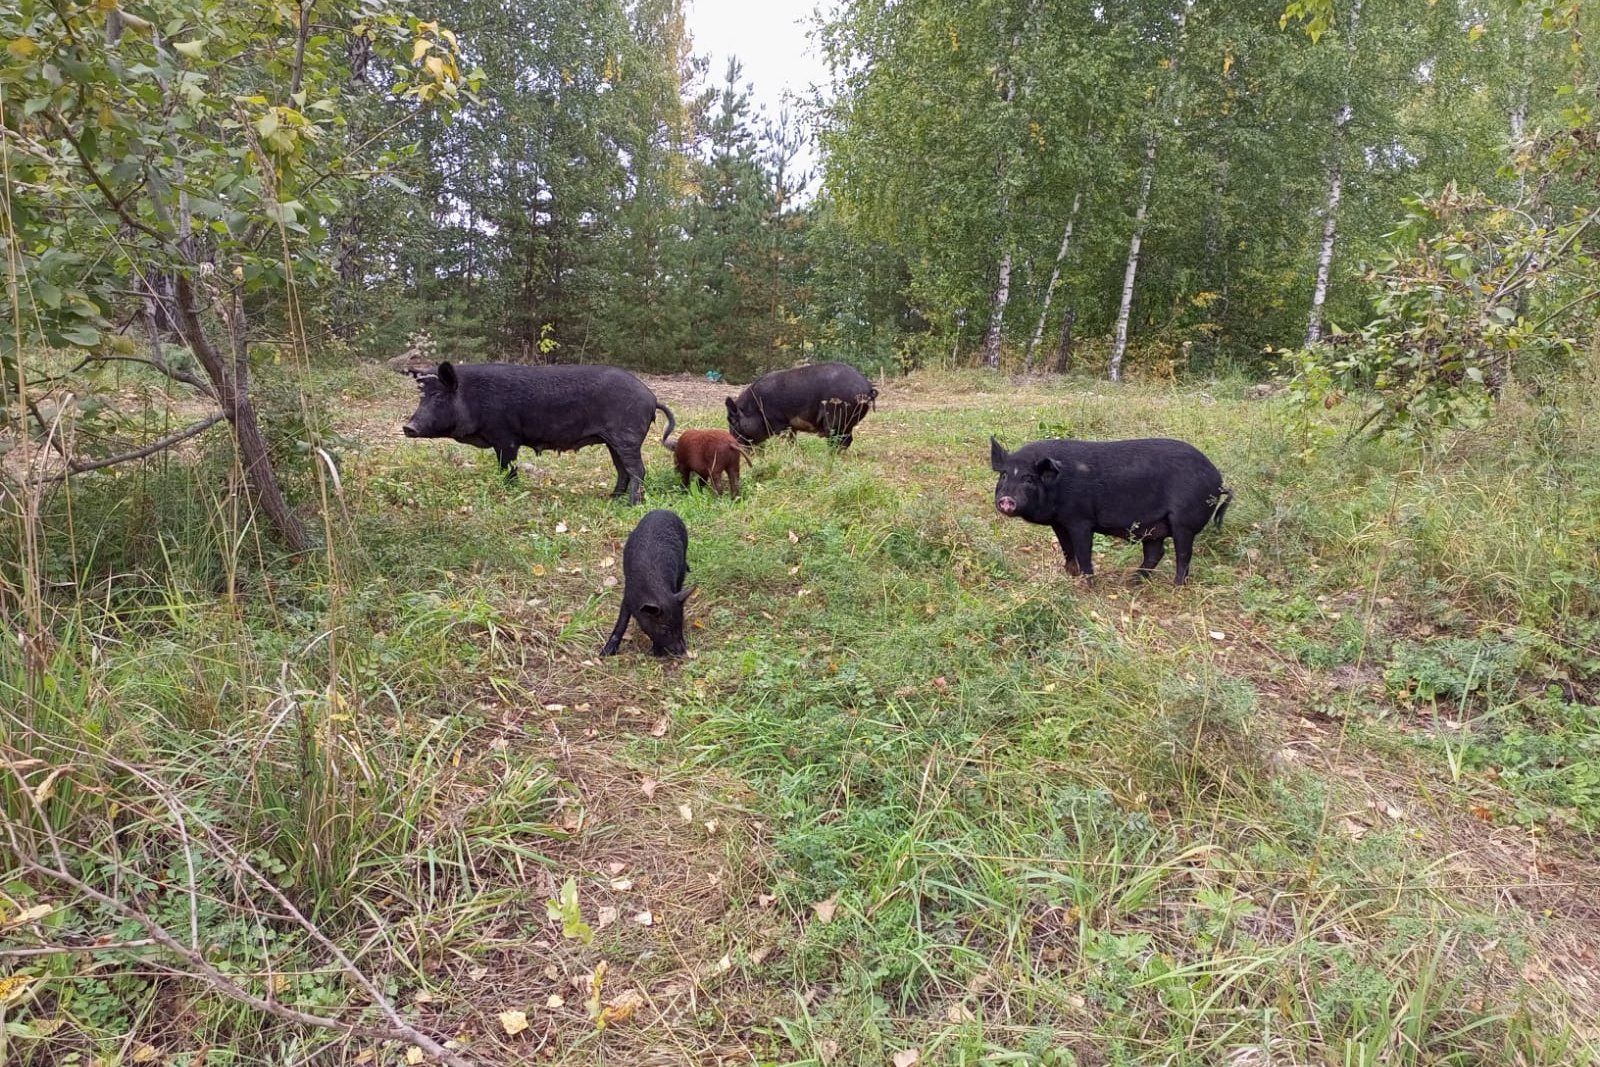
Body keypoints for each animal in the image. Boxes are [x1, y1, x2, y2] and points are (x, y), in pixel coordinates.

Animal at [406, 363, 675, 505]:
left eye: (439, 396)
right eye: (422, 397)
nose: (408, 427)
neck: (473, 397)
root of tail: (651, 398)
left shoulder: (506, 436)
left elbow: (507, 467)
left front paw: (510, 490)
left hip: (626, 436)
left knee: (637, 469)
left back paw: (631, 504)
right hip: (614, 441)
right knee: (623, 470)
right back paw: (611, 498)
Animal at [601, 511, 694, 659]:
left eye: (681, 622)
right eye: (663, 627)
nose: (683, 651)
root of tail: (663, 510)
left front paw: (657, 653)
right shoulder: (628, 596)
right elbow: (621, 623)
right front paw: (604, 654)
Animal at [723, 363, 876, 451]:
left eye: (733, 421)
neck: (756, 407)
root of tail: (868, 387)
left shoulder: (780, 423)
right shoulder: (791, 427)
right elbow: (792, 440)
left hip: (835, 420)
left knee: (838, 441)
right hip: (847, 423)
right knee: (847, 440)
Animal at [985, 435, 1235, 585]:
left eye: (1028, 478)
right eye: (1004, 475)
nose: (1006, 500)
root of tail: (1218, 481)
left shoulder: (1080, 520)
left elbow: (1083, 551)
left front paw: (1087, 584)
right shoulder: (1060, 522)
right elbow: (1067, 549)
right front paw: (1070, 574)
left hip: (1184, 521)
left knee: (1183, 554)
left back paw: (1175, 587)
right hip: (1153, 528)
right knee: (1156, 553)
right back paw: (1132, 581)